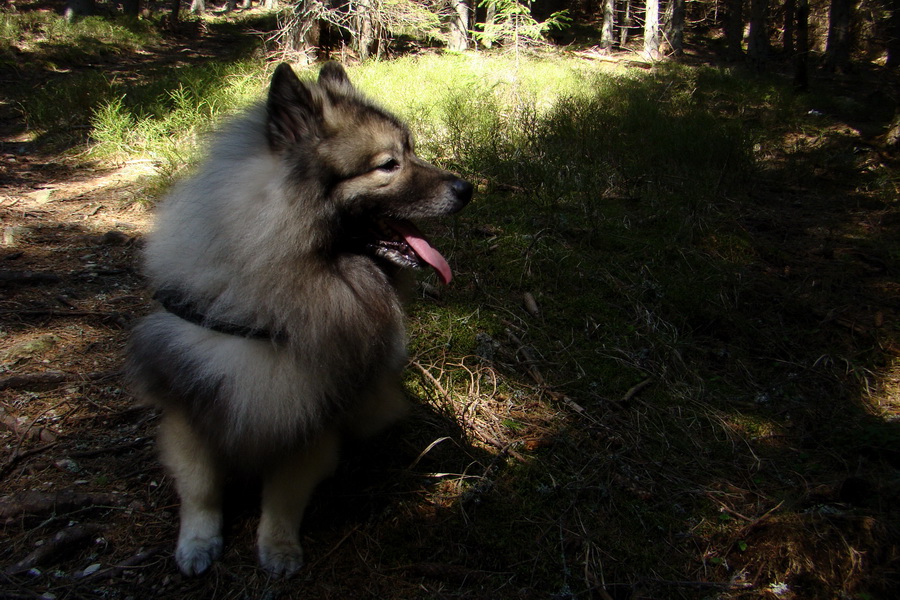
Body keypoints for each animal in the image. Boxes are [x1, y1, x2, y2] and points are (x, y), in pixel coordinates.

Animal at [129, 62, 474, 576]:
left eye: (410, 151)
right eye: (388, 164)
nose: (467, 189)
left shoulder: (312, 418)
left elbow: (285, 496)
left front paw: (278, 547)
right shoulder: (191, 407)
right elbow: (201, 487)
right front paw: (197, 541)